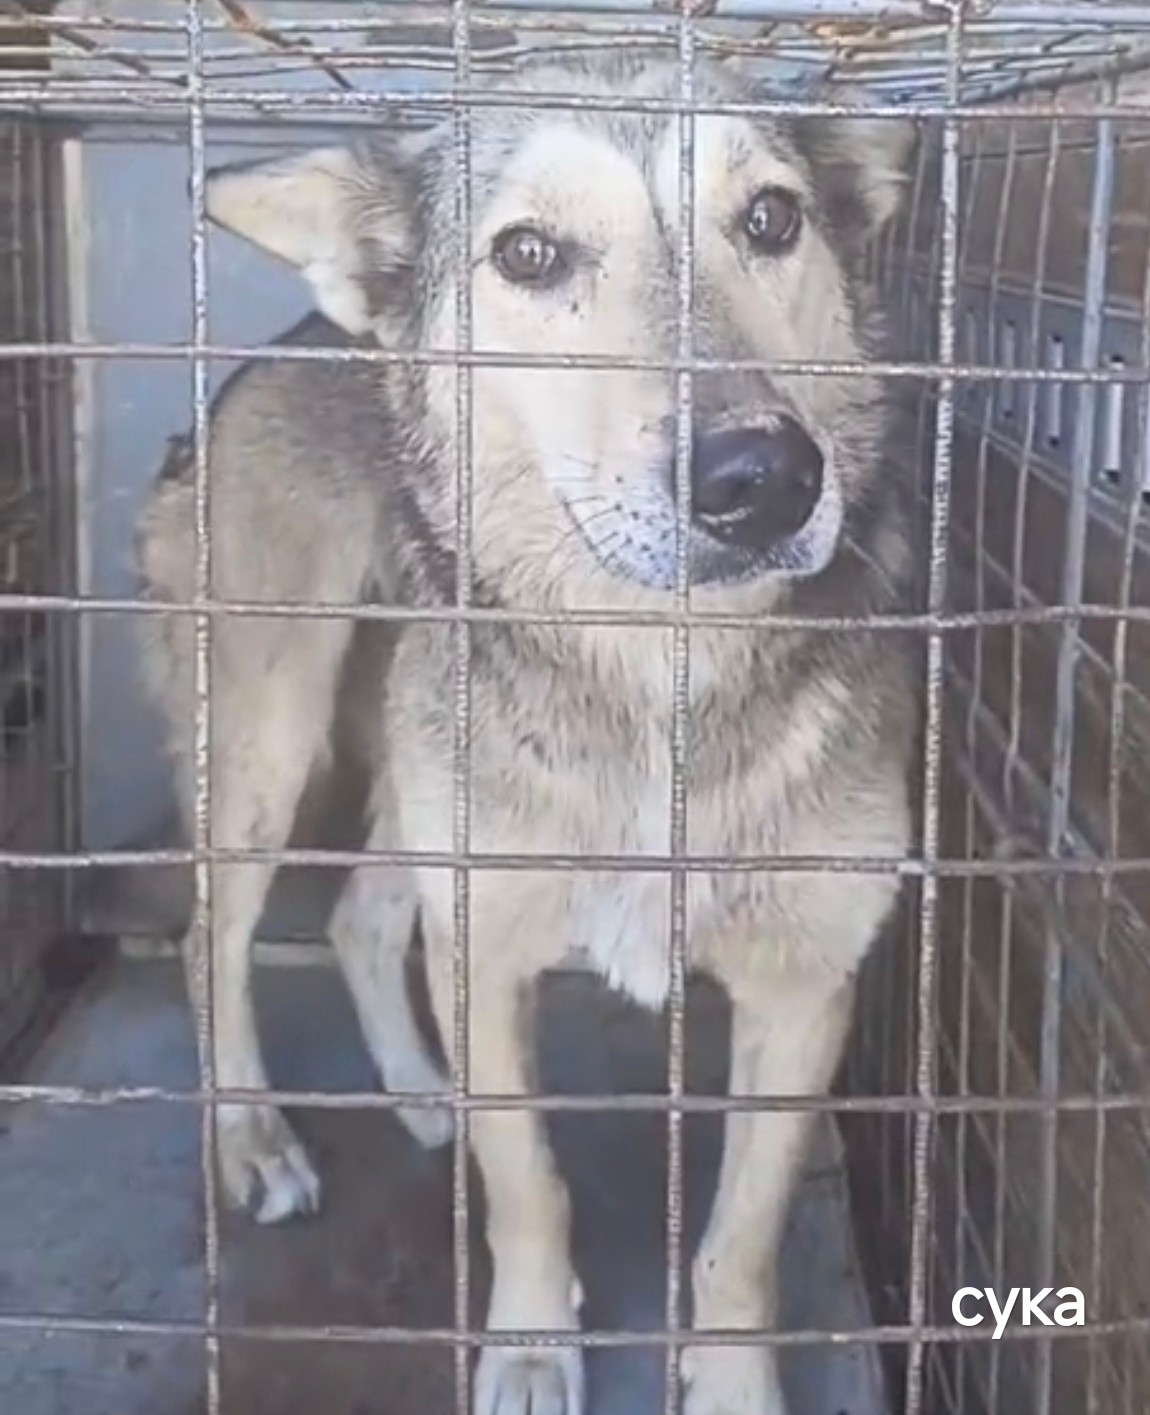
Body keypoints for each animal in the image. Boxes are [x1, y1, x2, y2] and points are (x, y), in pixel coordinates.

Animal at [134, 52, 917, 1415]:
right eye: (530, 253)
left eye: (771, 219)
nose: (762, 475)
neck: (660, 677)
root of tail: (269, 356)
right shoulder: (487, 953)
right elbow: (528, 1179)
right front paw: (534, 1344)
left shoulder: (805, 982)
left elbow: (744, 1236)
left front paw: (730, 1381)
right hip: (270, 738)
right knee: (208, 941)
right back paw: (255, 1138)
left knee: (359, 915)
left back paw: (415, 1089)